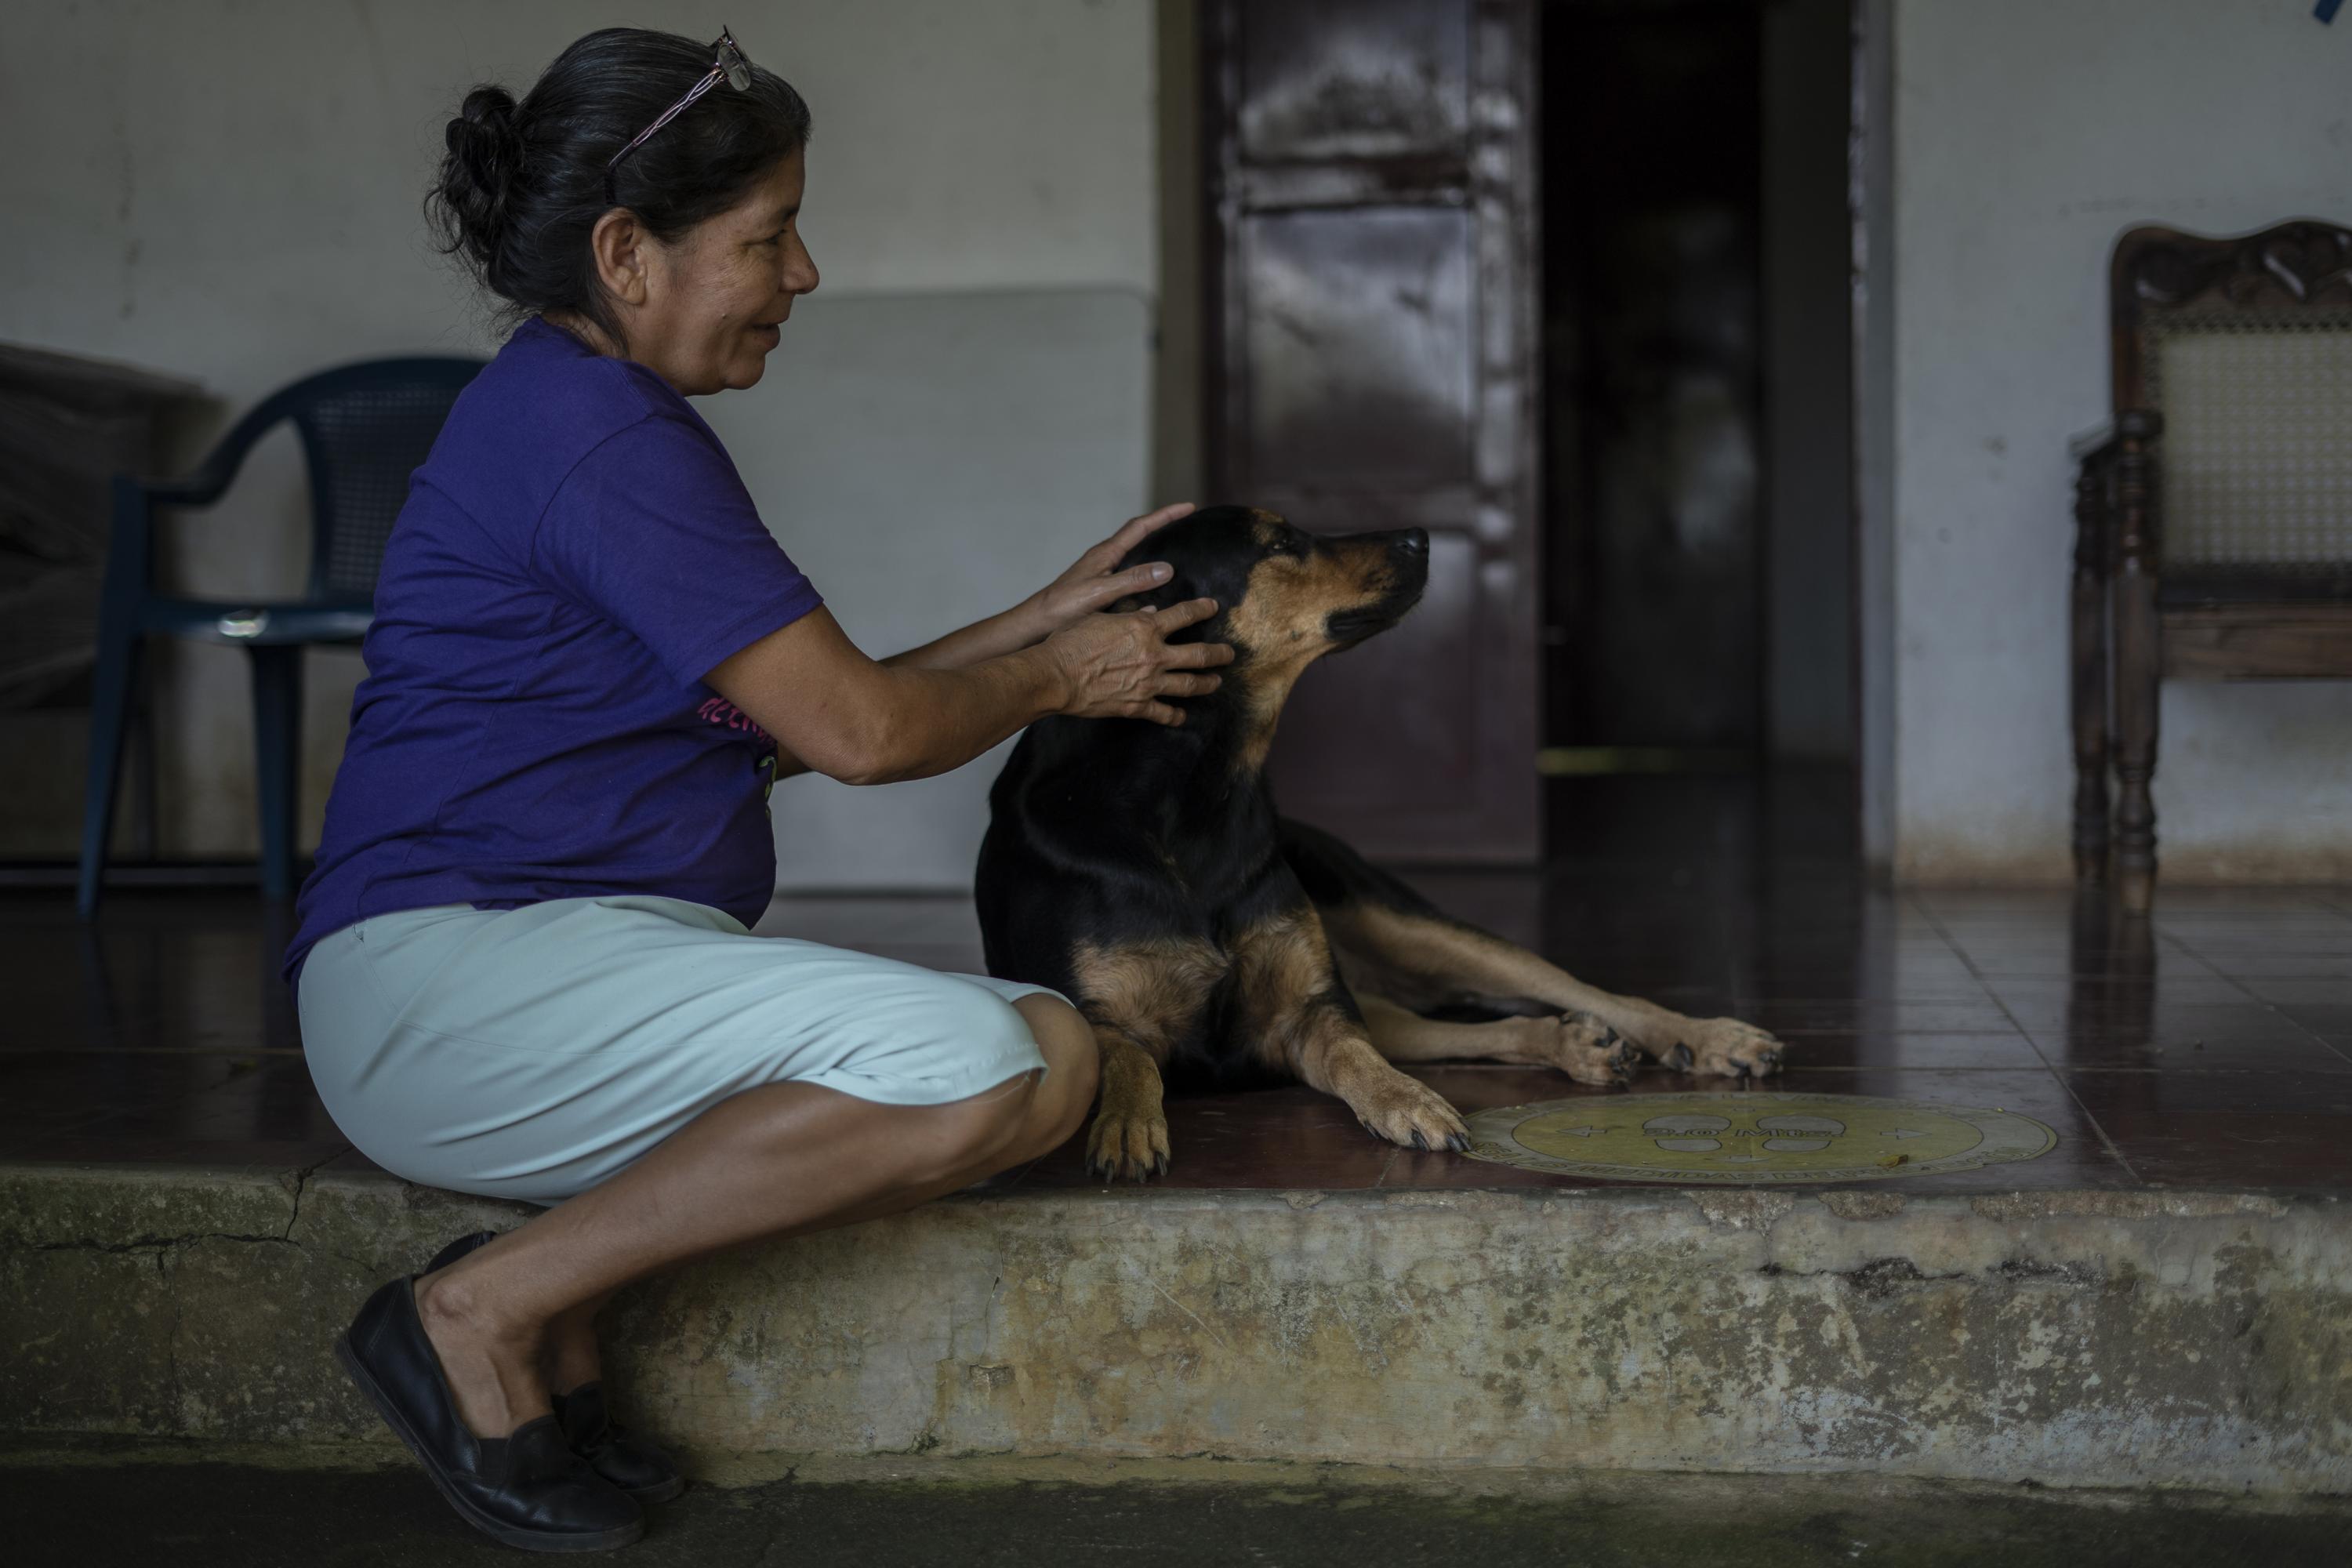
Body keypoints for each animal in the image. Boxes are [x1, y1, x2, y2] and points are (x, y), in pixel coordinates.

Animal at [974, 510, 1778, 1185]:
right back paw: (1573, 1045)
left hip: (1404, 924)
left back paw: (1708, 1037)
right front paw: (1127, 1126)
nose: (1424, 536)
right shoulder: (1098, 1017)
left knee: (1587, 992)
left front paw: (1406, 1101)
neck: (1194, 787)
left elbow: (1358, 1057)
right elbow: (1128, 1060)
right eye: (1278, 543)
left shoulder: (1314, 1013)